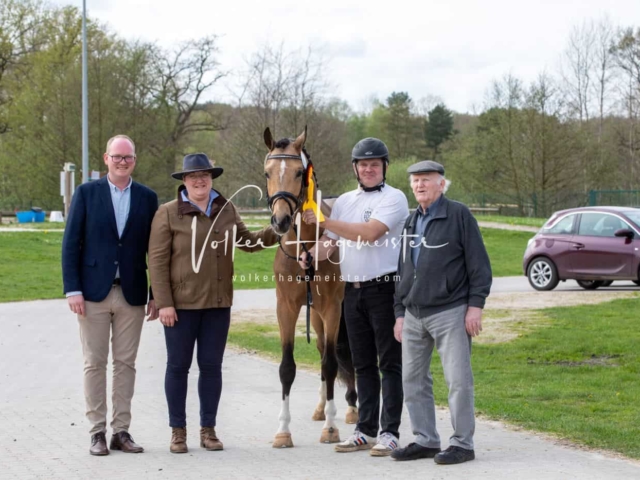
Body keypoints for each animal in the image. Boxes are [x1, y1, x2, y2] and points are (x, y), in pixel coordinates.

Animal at [262, 125, 358, 448]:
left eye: (297, 172)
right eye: (267, 172)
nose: (280, 220)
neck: (306, 245)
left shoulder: (332, 309)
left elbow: (331, 363)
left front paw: (330, 428)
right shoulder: (287, 308)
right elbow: (287, 367)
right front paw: (282, 430)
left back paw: (351, 409)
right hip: (314, 315)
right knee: (321, 350)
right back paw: (321, 407)